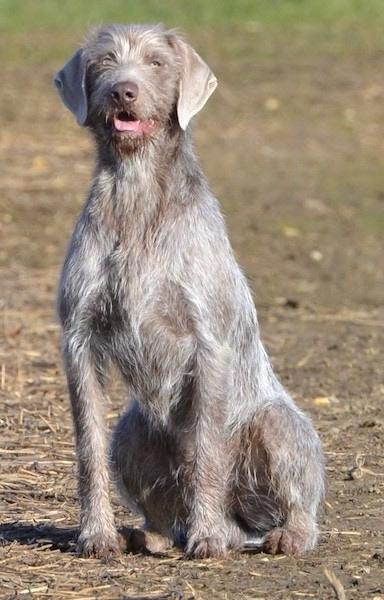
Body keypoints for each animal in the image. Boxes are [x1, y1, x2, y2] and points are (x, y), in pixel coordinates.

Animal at [54, 22, 324, 556]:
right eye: (104, 61)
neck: (136, 190)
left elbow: (206, 450)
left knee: (299, 505)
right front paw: (96, 535)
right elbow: (88, 447)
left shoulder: (207, 344)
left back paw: (280, 534)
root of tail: (244, 524)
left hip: (277, 427)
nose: (124, 90)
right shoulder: (79, 340)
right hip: (131, 432)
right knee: (159, 506)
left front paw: (207, 537)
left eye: (157, 63)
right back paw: (152, 535)